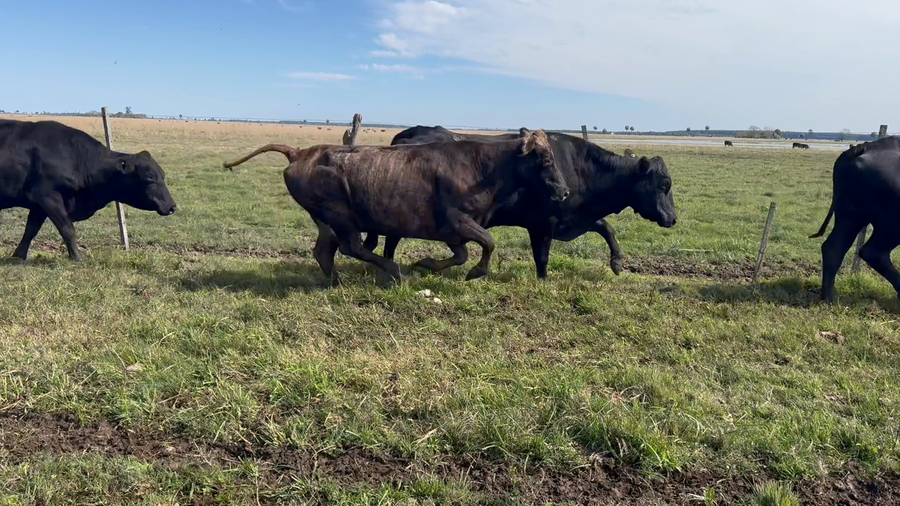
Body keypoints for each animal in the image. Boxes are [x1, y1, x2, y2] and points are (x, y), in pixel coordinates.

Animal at [0, 119, 177, 261]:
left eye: (162, 175)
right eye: (150, 176)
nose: (172, 206)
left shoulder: (38, 204)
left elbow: (31, 229)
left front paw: (19, 256)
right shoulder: (47, 196)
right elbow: (68, 229)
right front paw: (77, 257)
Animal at [222, 129, 569, 285]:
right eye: (545, 158)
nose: (564, 191)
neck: (482, 166)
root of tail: (299, 153)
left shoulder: (452, 231)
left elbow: (462, 253)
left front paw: (427, 263)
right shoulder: (457, 220)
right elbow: (487, 243)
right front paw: (476, 273)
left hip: (327, 219)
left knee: (325, 249)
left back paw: (336, 281)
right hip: (340, 215)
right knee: (350, 247)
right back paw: (394, 271)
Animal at [366, 125, 677, 278]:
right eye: (664, 185)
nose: (673, 218)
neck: (578, 169)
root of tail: (405, 135)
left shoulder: (574, 219)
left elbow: (606, 228)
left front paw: (617, 263)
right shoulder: (543, 222)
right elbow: (542, 256)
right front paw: (543, 281)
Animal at [810, 138, 900, 302]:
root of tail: (864, 147)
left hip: (851, 216)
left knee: (834, 247)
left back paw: (830, 297)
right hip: (890, 223)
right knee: (873, 252)